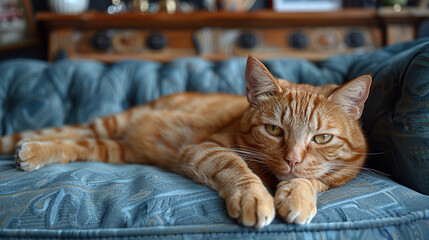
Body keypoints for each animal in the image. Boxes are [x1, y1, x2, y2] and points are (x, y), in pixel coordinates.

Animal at [0, 56, 370, 229]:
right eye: (274, 130)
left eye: (322, 138)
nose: (292, 159)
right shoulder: (205, 150)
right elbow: (239, 169)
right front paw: (255, 197)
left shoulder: (336, 176)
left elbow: (312, 179)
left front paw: (297, 195)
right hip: (112, 123)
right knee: (66, 132)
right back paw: (27, 148)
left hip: (115, 148)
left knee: (78, 143)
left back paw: (31, 150)